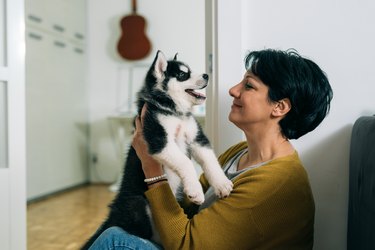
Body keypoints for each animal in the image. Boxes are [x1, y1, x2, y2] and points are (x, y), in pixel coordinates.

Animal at [83, 50, 232, 248]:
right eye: (183, 75)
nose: (207, 75)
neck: (173, 111)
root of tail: (113, 214)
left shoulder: (197, 139)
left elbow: (210, 161)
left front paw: (222, 184)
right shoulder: (158, 139)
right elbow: (185, 162)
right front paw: (195, 190)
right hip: (138, 205)